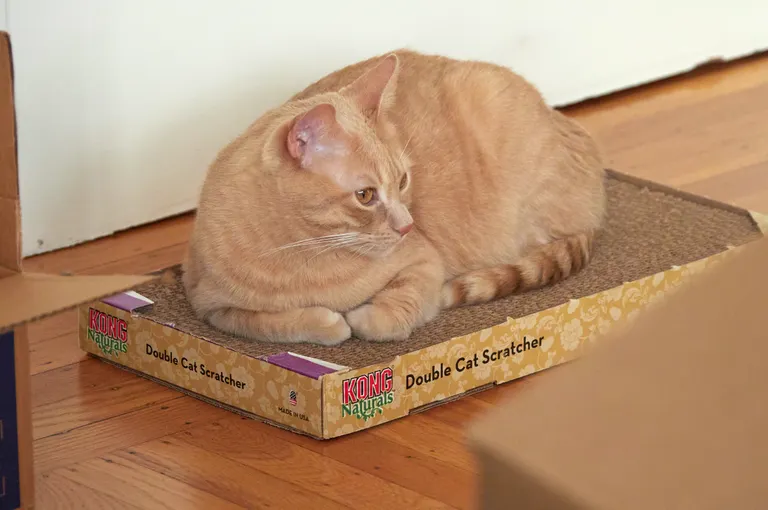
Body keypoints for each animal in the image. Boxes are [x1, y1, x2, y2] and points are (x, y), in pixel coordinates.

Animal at [182, 49, 608, 344]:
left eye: (403, 181)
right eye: (366, 195)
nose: (407, 225)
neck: (299, 253)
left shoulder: (424, 262)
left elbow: (396, 311)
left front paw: (362, 317)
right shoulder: (210, 306)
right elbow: (271, 323)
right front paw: (325, 321)